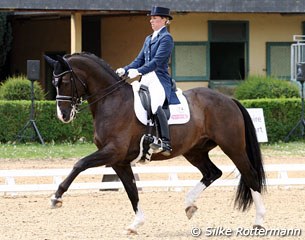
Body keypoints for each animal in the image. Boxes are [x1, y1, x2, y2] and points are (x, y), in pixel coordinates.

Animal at [44, 52, 264, 234]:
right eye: (54, 82)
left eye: (65, 80)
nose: (63, 115)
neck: (112, 101)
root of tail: (229, 100)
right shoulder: (119, 161)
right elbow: (131, 190)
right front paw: (136, 224)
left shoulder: (113, 151)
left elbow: (79, 164)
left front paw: (56, 197)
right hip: (195, 151)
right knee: (212, 173)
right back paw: (189, 205)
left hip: (233, 148)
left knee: (251, 176)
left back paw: (259, 222)